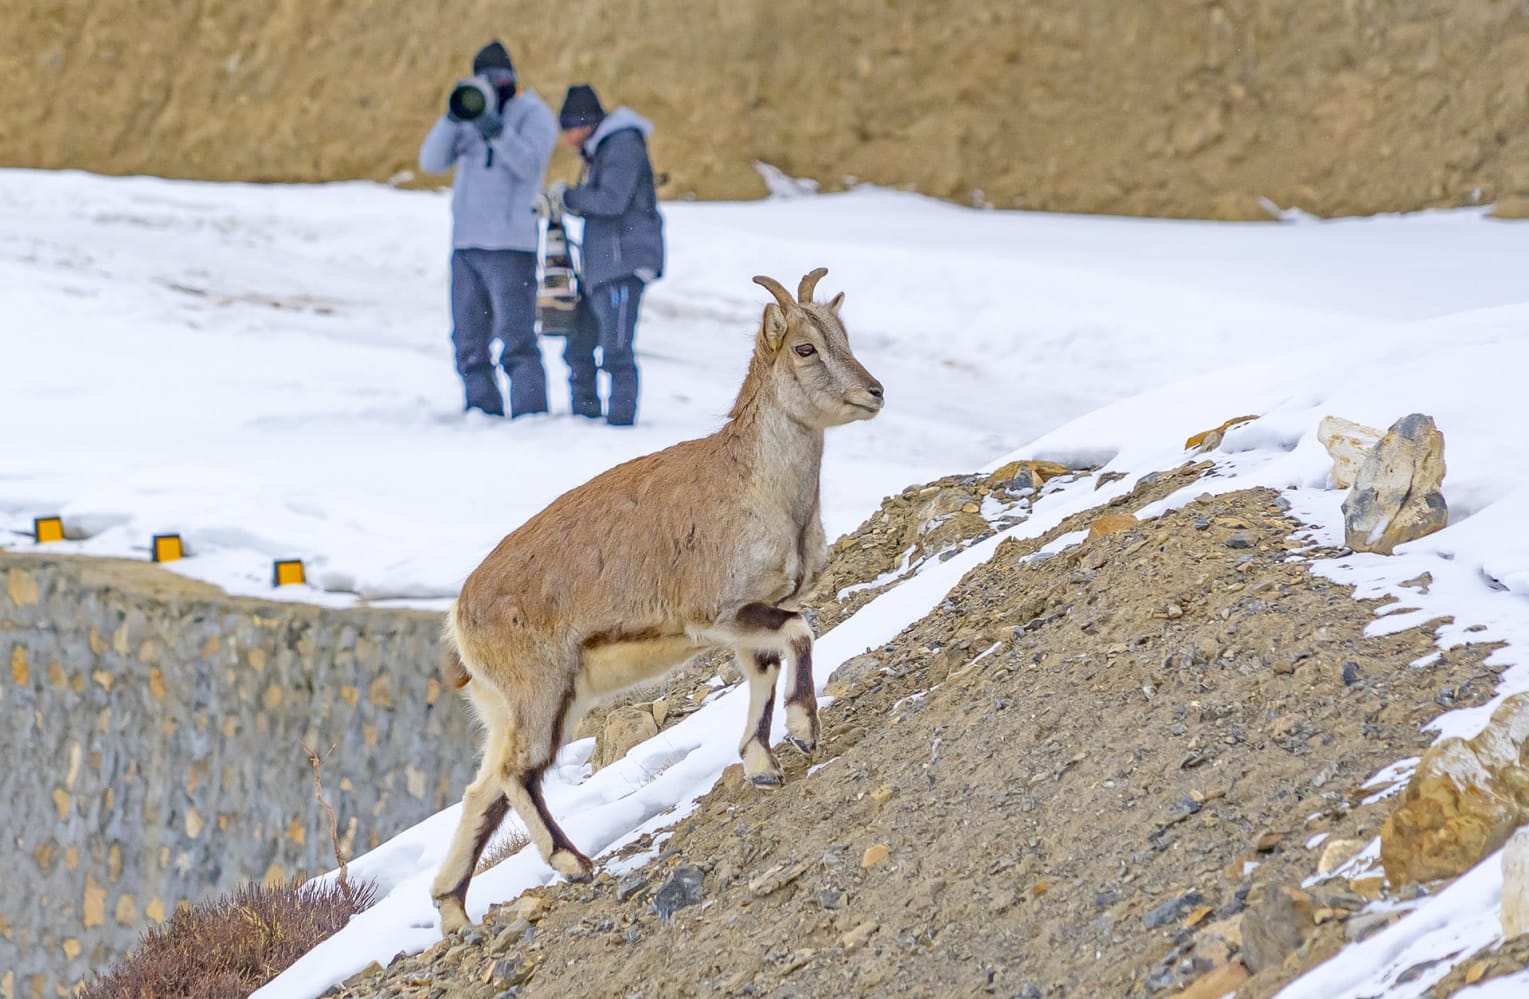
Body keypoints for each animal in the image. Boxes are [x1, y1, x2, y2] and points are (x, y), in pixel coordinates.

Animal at [431, 267, 884, 933]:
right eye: (805, 348)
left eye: (844, 337)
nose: (874, 392)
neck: (763, 490)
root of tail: (460, 618)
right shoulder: (718, 615)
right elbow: (800, 630)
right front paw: (803, 730)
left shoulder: (745, 623)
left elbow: (764, 670)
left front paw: (761, 765)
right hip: (542, 692)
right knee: (518, 775)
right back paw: (572, 863)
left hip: (514, 708)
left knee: (482, 790)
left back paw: (455, 912)